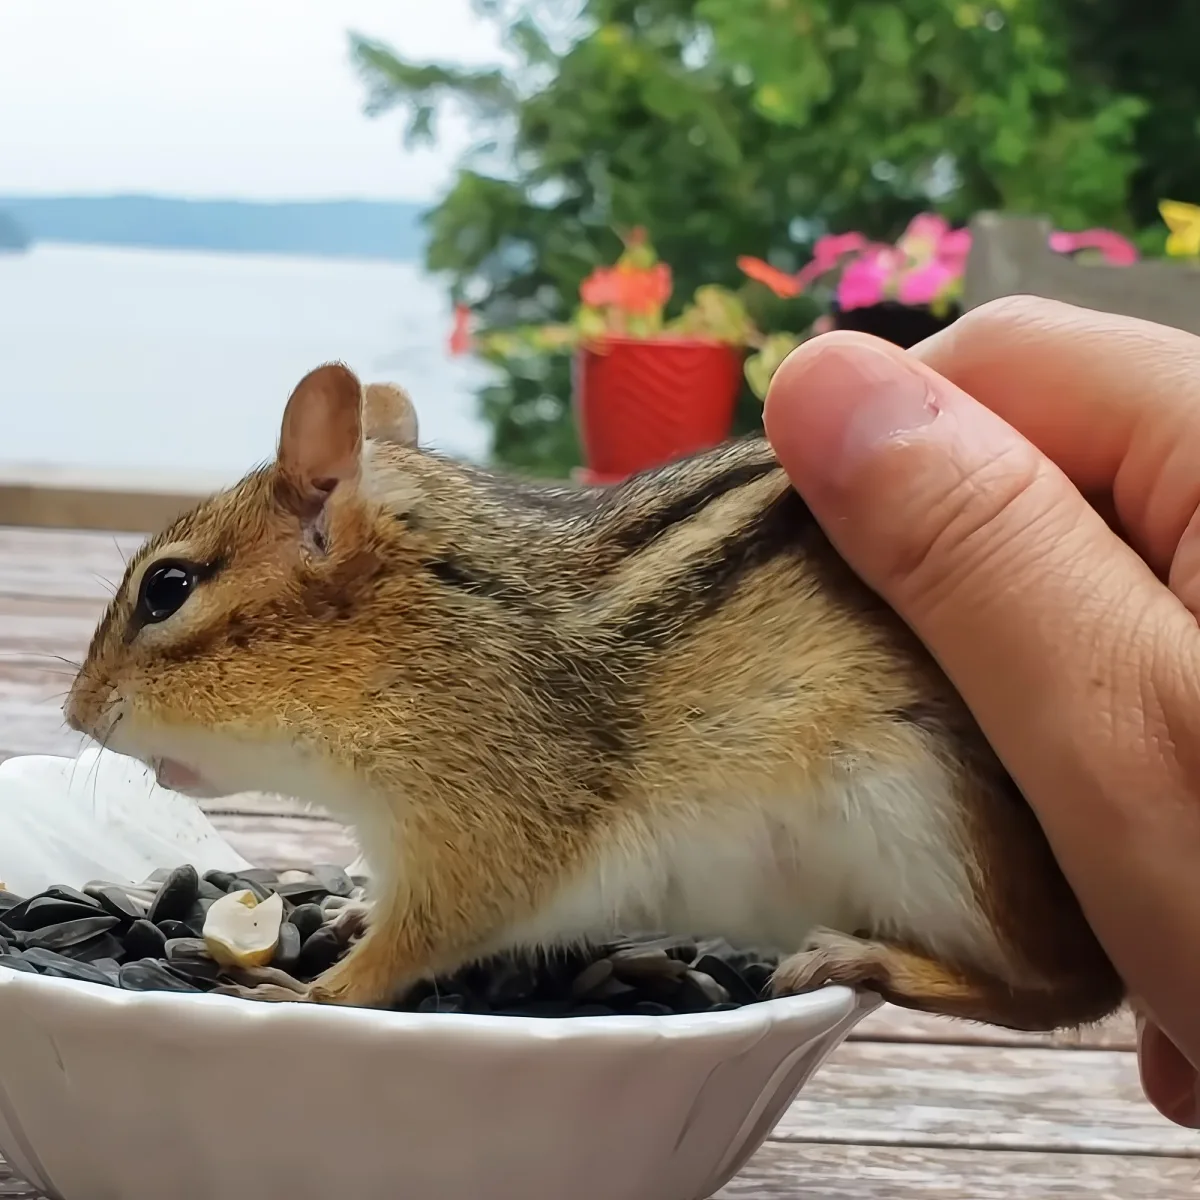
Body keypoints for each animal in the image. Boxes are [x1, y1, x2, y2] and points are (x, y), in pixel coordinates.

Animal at [65, 361, 1124, 1030]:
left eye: (167, 589)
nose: (75, 712)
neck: (417, 633)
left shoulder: (489, 821)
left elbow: (428, 936)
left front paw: (313, 996)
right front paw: (351, 910)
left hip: (940, 827)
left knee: (1073, 989)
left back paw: (867, 958)